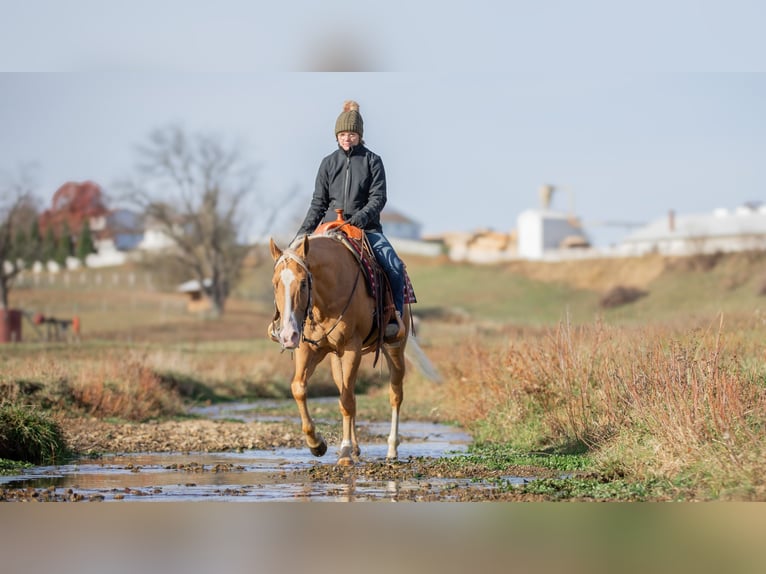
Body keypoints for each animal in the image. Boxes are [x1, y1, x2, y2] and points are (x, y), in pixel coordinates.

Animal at [272, 232, 412, 466]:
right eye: (275, 284)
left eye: (303, 283)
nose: (287, 335)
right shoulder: (308, 349)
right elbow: (299, 388)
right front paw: (316, 444)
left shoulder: (351, 348)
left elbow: (345, 401)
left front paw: (344, 453)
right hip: (335, 358)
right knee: (350, 392)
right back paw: (355, 447)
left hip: (395, 347)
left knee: (395, 394)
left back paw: (391, 450)